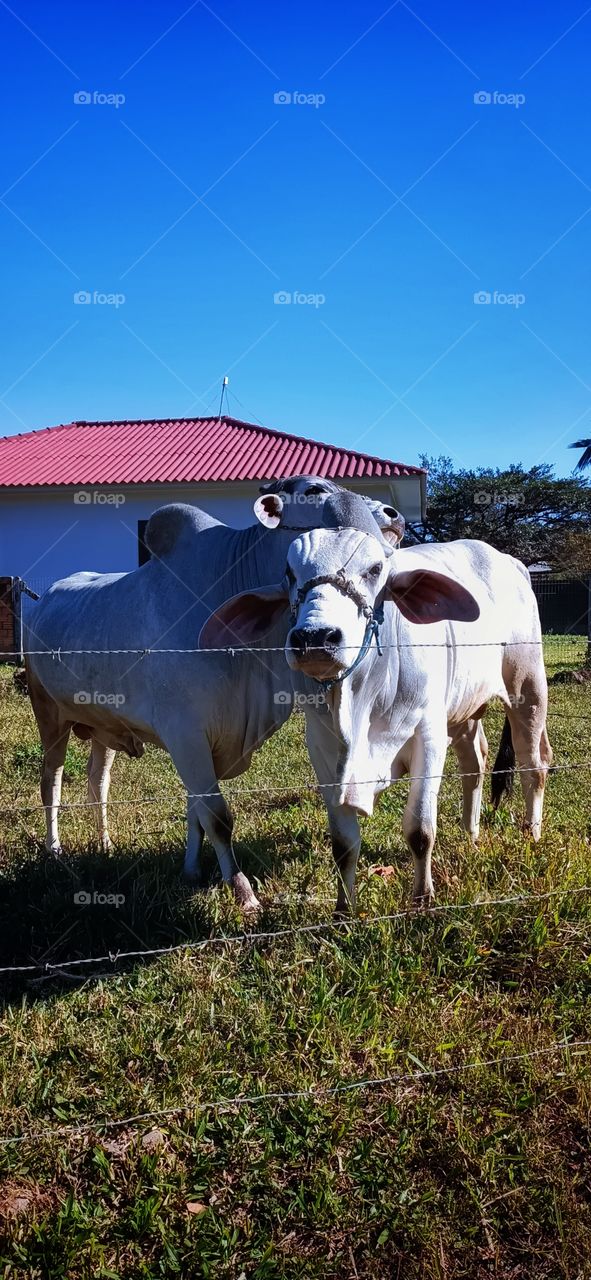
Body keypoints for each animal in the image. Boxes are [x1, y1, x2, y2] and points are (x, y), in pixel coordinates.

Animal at [23, 478, 404, 912]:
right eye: (312, 490)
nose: (393, 516)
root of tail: (43, 598)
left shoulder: (201, 742)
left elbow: (198, 812)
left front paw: (191, 870)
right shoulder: (185, 734)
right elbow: (218, 816)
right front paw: (242, 890)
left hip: (103, 726)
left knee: (96, 782)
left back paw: (103, 842)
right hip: (48, 713)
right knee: (51, 780)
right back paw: (54, 849)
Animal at [201, 492, 552, 915]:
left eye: (374, 570)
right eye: (289, 573)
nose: (315, 637)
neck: (362, 698)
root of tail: (510, 561)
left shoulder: (428, 737)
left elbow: (420, 830)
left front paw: (422, 900)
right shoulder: (324, 750)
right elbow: (343, 843)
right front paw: (343, 909)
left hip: (527, 688)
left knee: (534, 762)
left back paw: (532, 835)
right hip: (465, 710)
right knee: (476, 764)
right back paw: (471, 834)